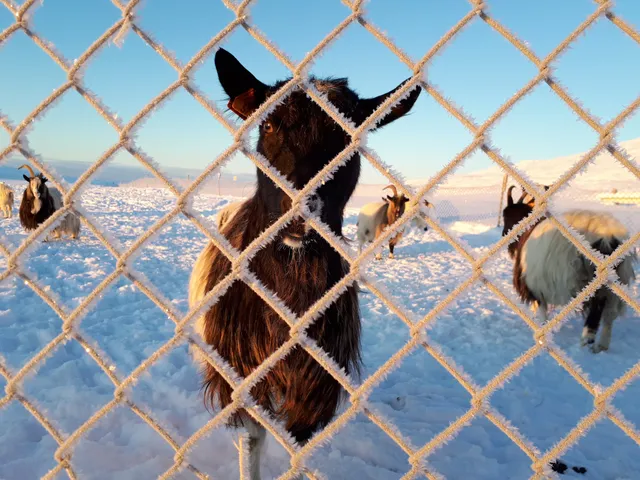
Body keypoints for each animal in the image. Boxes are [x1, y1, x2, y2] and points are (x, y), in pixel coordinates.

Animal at [188, 48, 420, 479]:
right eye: (268, 124)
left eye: (348, 135)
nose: (300, 209)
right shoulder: (241, 376)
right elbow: (251, 440)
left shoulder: (316, 385)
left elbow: (297, 446)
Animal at [502, 185, 636, 353]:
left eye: (506, 216)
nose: (504, 235)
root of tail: (607, 235)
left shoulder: (535, 283)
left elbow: (541, 309)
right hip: (616, 278)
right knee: (609, 314)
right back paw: (601, 346)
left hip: (594, 277)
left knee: (597, 304)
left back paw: (587, 339)